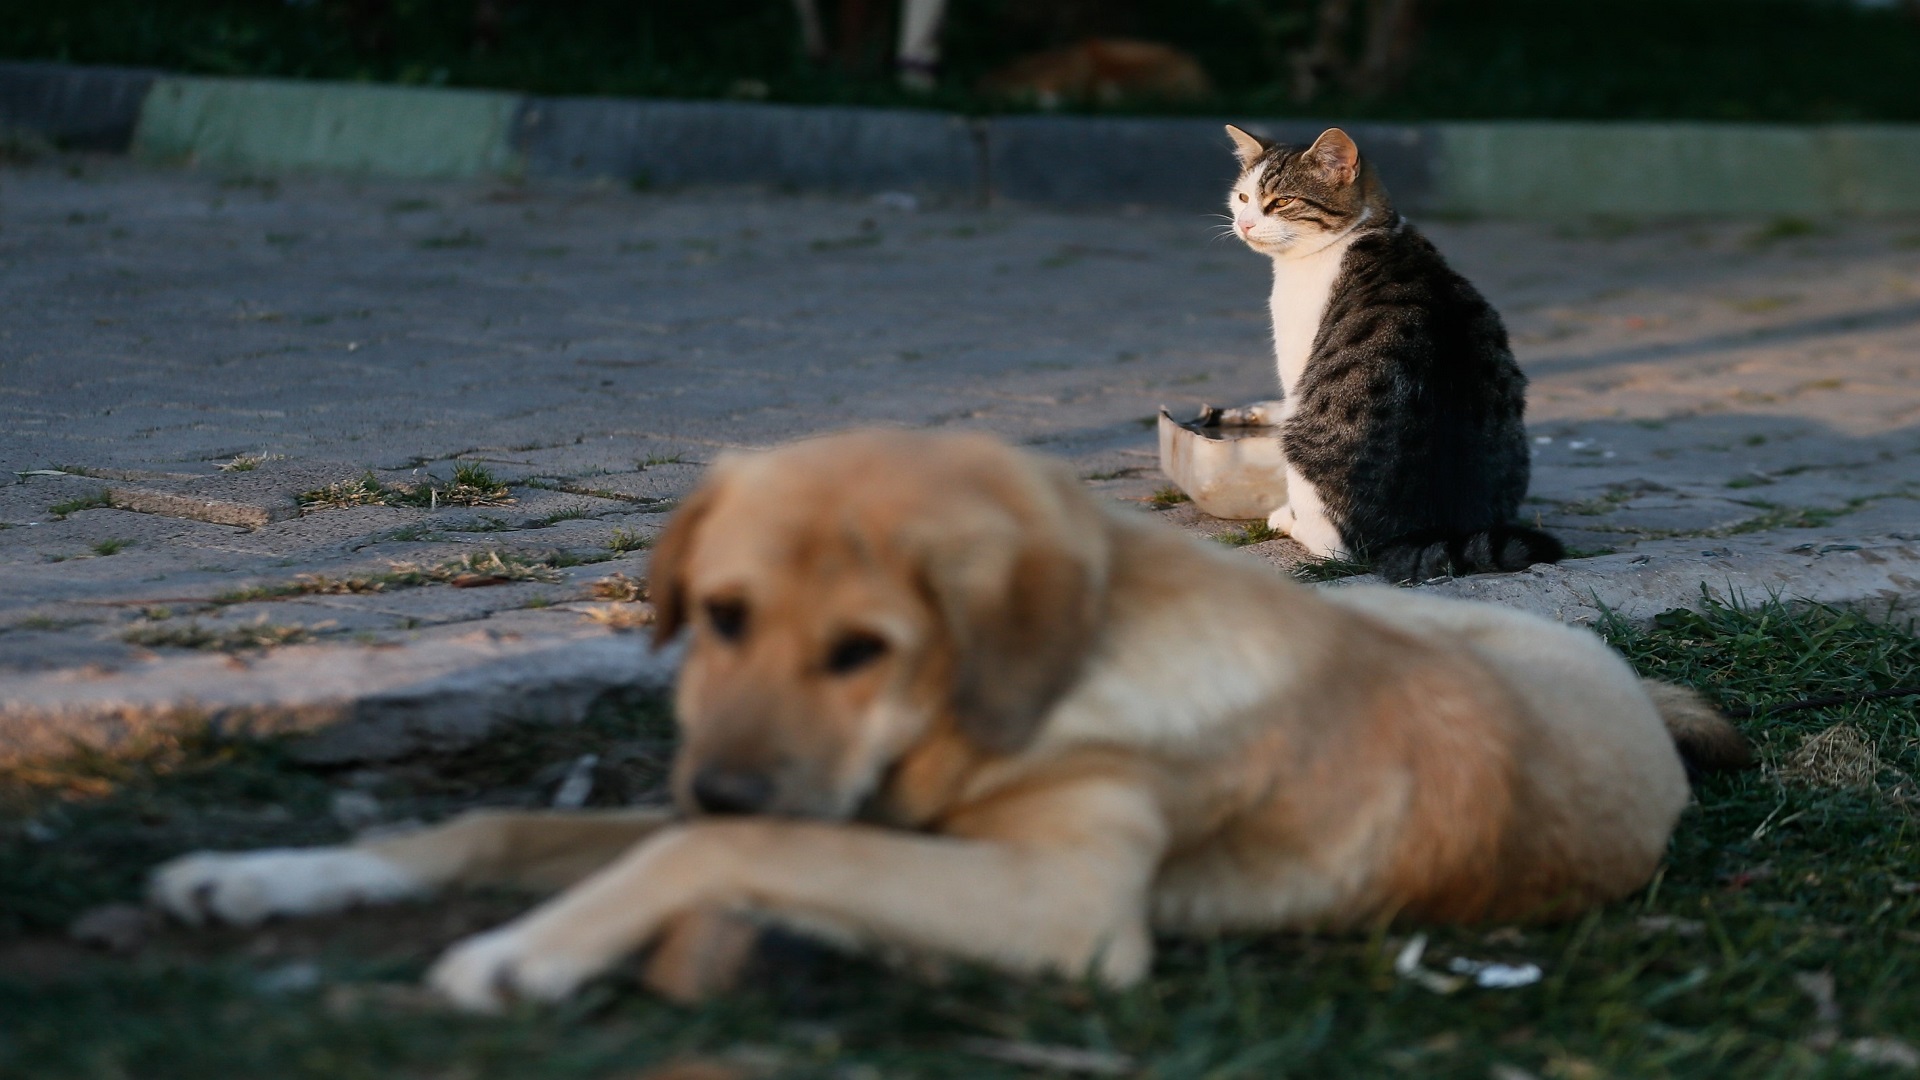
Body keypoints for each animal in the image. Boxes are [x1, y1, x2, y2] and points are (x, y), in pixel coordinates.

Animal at [145, 424, 1743, 1006]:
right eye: (719, 617)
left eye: (865, 650)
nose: (721, 785)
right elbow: (489, 821)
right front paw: (264, 875)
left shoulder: (1065, 905)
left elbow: (712, 853)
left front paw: (522, 954)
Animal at [1228, 122, 1559, 584]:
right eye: (1243, 197)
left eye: (1281, 202)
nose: (1243, 224)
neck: (1373, 229)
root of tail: (1415, 534)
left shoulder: (1296, 366)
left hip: (1298, 439)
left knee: (1336, 549)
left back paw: (1288, 522)